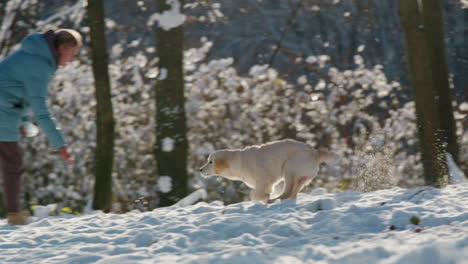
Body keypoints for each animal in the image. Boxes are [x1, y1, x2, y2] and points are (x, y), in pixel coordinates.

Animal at [199, 139, 338, 203]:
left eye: (210, 162)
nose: (200, 170)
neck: (240, 162)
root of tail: (316, 152)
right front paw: (265, 198)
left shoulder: (264, 180)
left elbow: (255, 194)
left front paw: (266, 197)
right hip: (301, 177)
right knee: (292, 193)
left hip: (289, 168)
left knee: (287, 192)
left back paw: (274, 199)